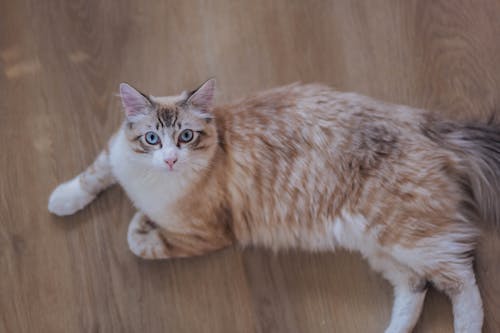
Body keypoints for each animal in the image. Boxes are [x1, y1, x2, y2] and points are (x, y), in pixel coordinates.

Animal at [47, 79, 500, 330]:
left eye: (186, 137)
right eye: (152, 139)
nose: (171, 159)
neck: (151, 181)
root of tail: (421, 120)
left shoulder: (209, 233)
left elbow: (139, 242)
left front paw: (140, 223)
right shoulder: (115, 154)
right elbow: (92, 175)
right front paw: (62, 199)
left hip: (405, 234)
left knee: (461, 279)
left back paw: (464, 326)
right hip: (376, 244)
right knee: (415, 287)